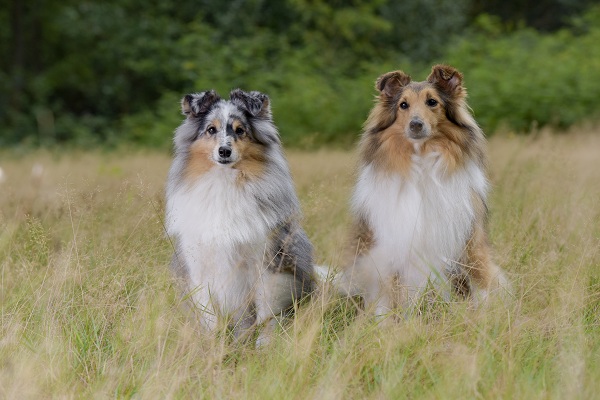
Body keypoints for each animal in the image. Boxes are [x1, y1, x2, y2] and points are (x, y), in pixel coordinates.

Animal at [164, 90, 314, 344]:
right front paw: (213, 345)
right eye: (211, 129)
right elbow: (209, 316)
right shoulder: (199, 267)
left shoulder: (265, 263)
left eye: (240, 130)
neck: (225, 182)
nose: (224, 151)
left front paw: (262, 345)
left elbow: (264, 313)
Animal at [338, 64, 506, 318]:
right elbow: (388, 297)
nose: (415, 125)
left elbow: (480, 285)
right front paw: (385, 323)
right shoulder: (389, 248)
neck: (422, 161)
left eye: (432, 102)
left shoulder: (468, 243)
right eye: (403, 105)